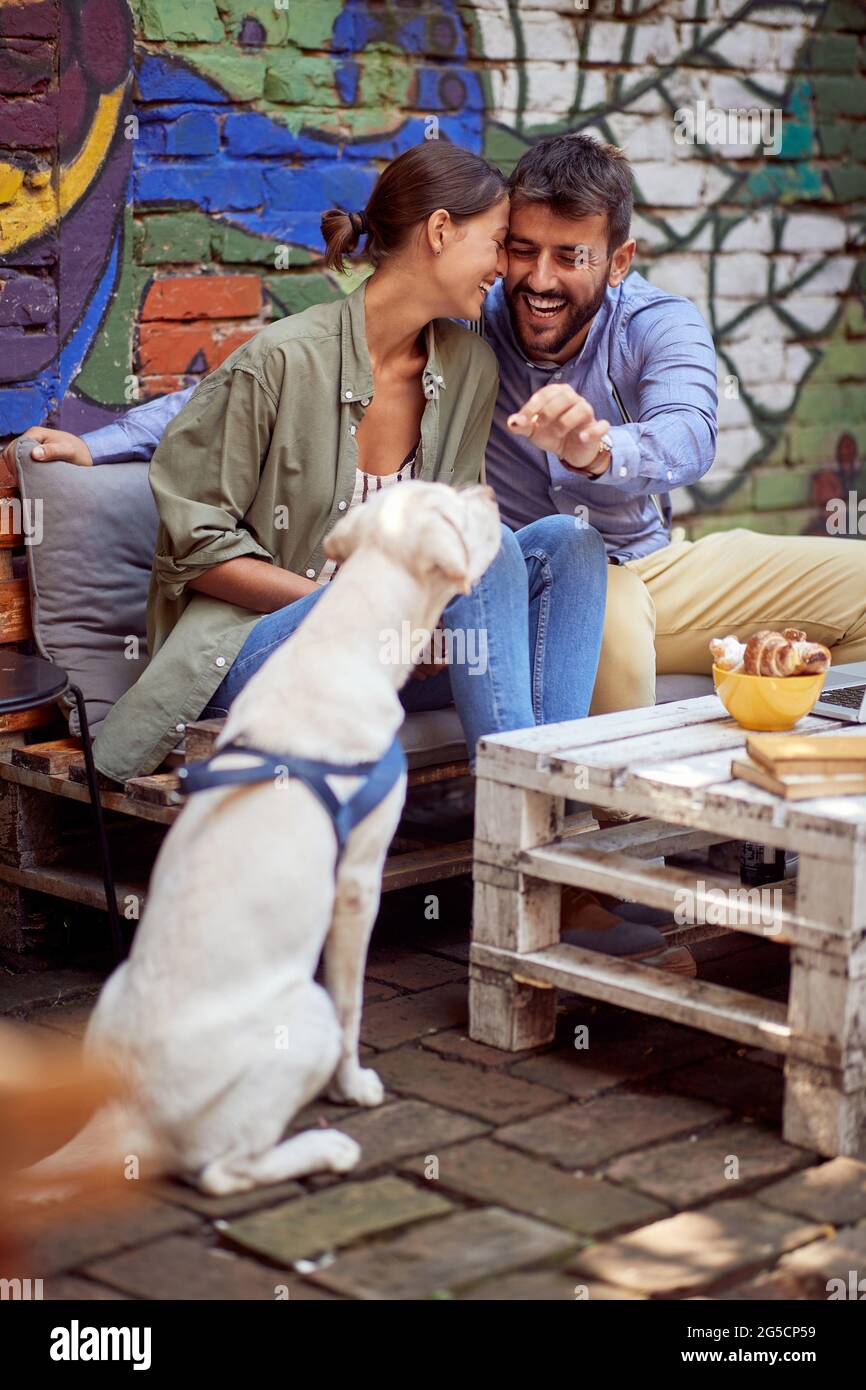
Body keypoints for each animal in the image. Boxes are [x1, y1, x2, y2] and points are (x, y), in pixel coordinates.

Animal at [22, 480, 500, 1195]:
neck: (346, 635)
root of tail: (125, 1113)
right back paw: (327, 1147)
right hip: (302, 1014)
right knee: (225, 1170)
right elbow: (353, 1001)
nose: (490, 490)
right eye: (453, 505)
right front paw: (354, 1086)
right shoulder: (357, 879)